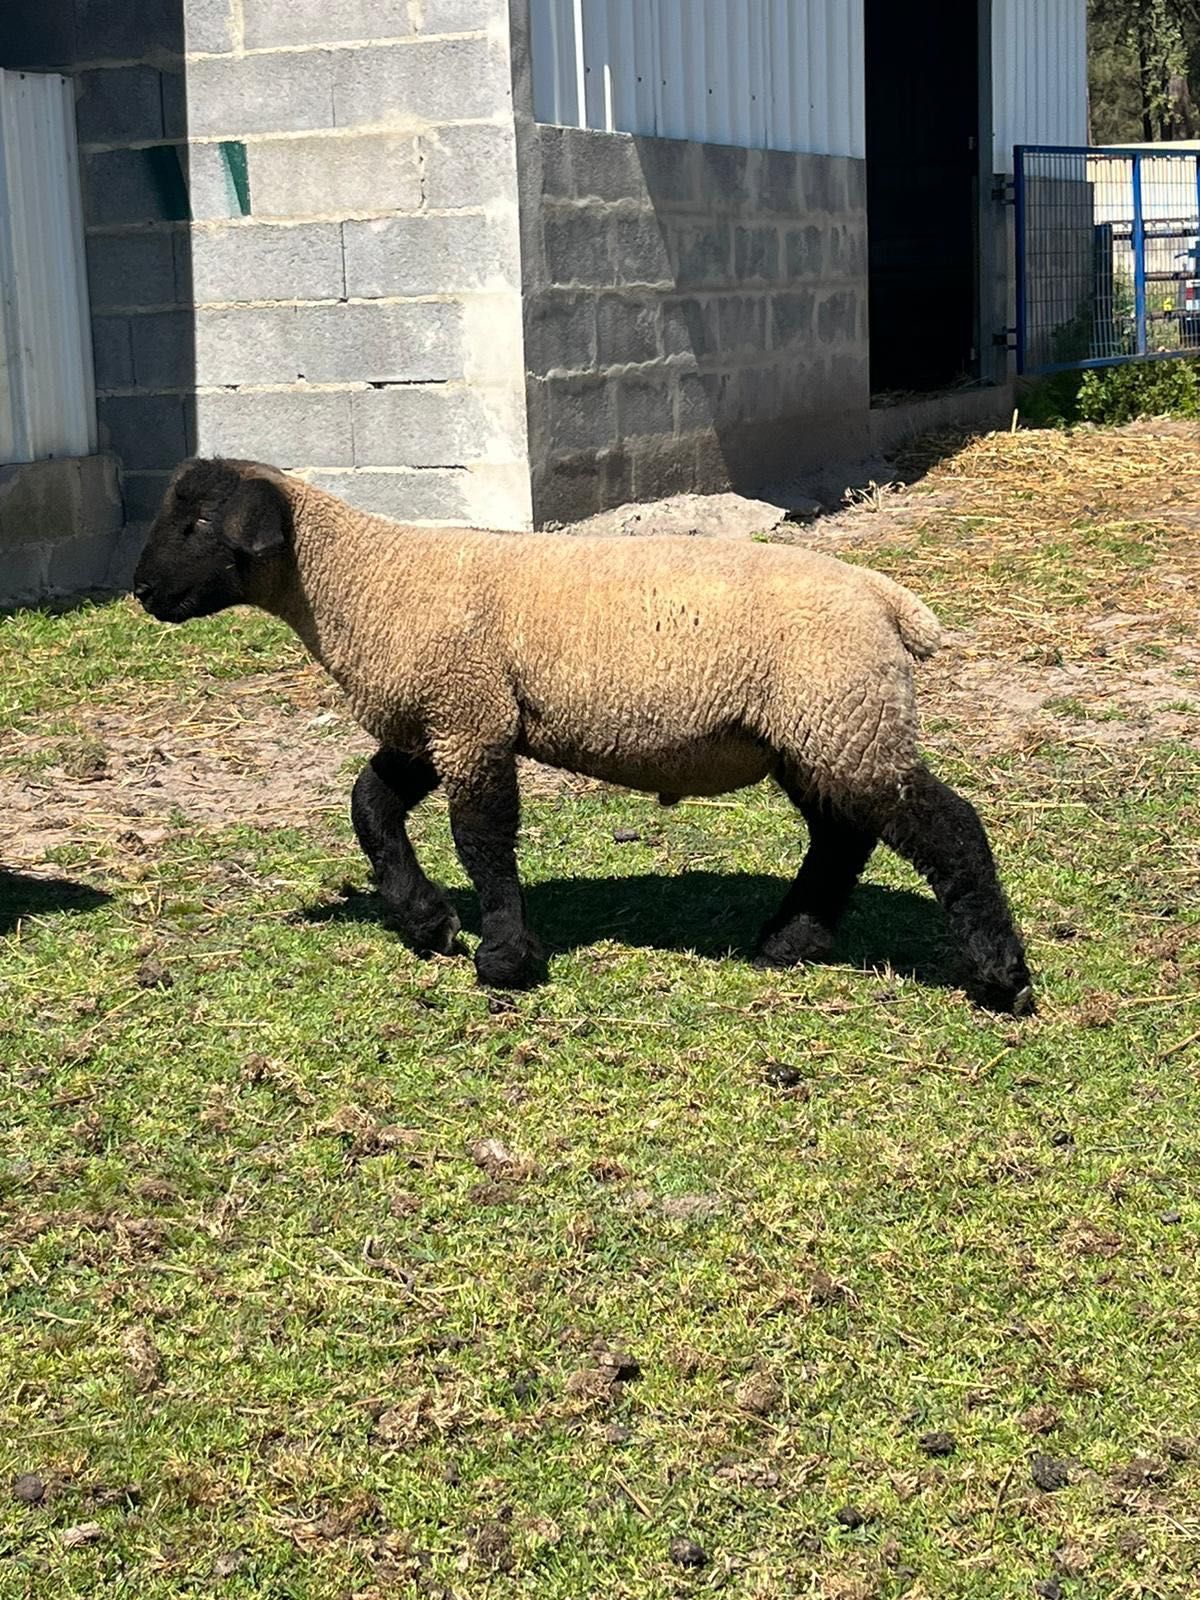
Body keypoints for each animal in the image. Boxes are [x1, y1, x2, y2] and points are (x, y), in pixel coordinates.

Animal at [129, 457, 1036, 1011]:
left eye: (196, 526)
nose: (140, 593)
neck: (365, 581)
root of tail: (886, 601)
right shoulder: (437, 721)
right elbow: (369, 808)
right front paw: (426, 923)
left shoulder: (471, 717)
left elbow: (483, 840)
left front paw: (503, 957)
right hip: (814, 729)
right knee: (844, 834)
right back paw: (789, 942)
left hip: (842, 715)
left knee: (948, 827)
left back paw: (1001, 977)